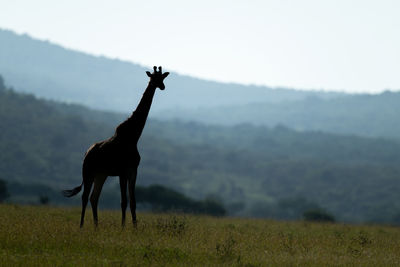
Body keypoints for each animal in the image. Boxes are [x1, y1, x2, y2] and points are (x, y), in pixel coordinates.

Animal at [63, 66, 170, 227]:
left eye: (162, 77)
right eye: (153, 77)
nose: (162, 87)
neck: (133, 137)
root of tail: (86, 153)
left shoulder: (133, 170)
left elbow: (133, 202)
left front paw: (135, 227)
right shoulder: (122, 171)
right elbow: (123, 201)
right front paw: (123, 227)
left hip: (101, 174)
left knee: (94, 197)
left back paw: (96, 227)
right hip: (88, 172)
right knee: (85, 197)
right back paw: (81, 226)